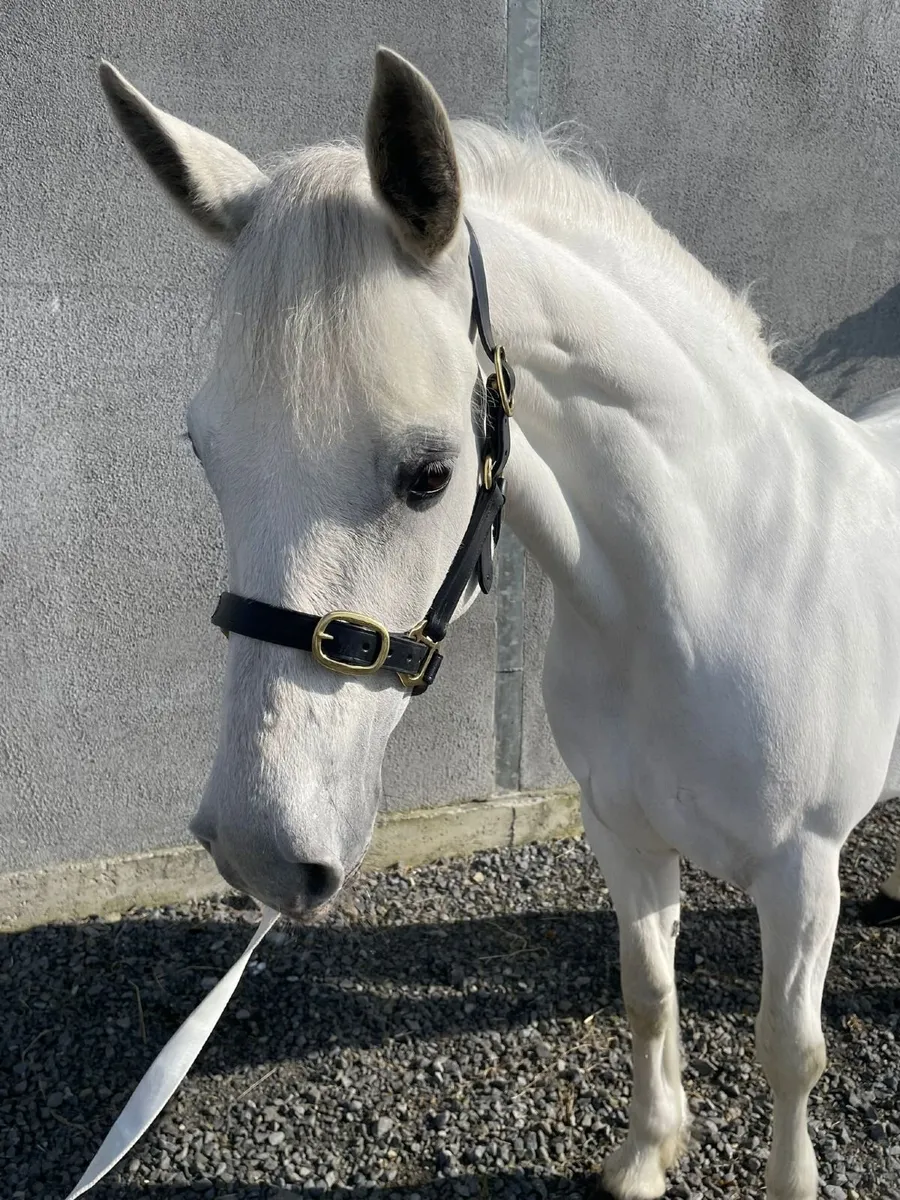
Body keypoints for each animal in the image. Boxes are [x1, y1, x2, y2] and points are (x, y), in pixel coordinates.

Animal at [98, 47, 900, 1200]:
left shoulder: (803, 874)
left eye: (429, 472)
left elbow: (791, 1053)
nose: (258, 851)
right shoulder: (622, 833)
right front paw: (644, 1157)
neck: (712, 585)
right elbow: (647, 995)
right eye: (203, 447)